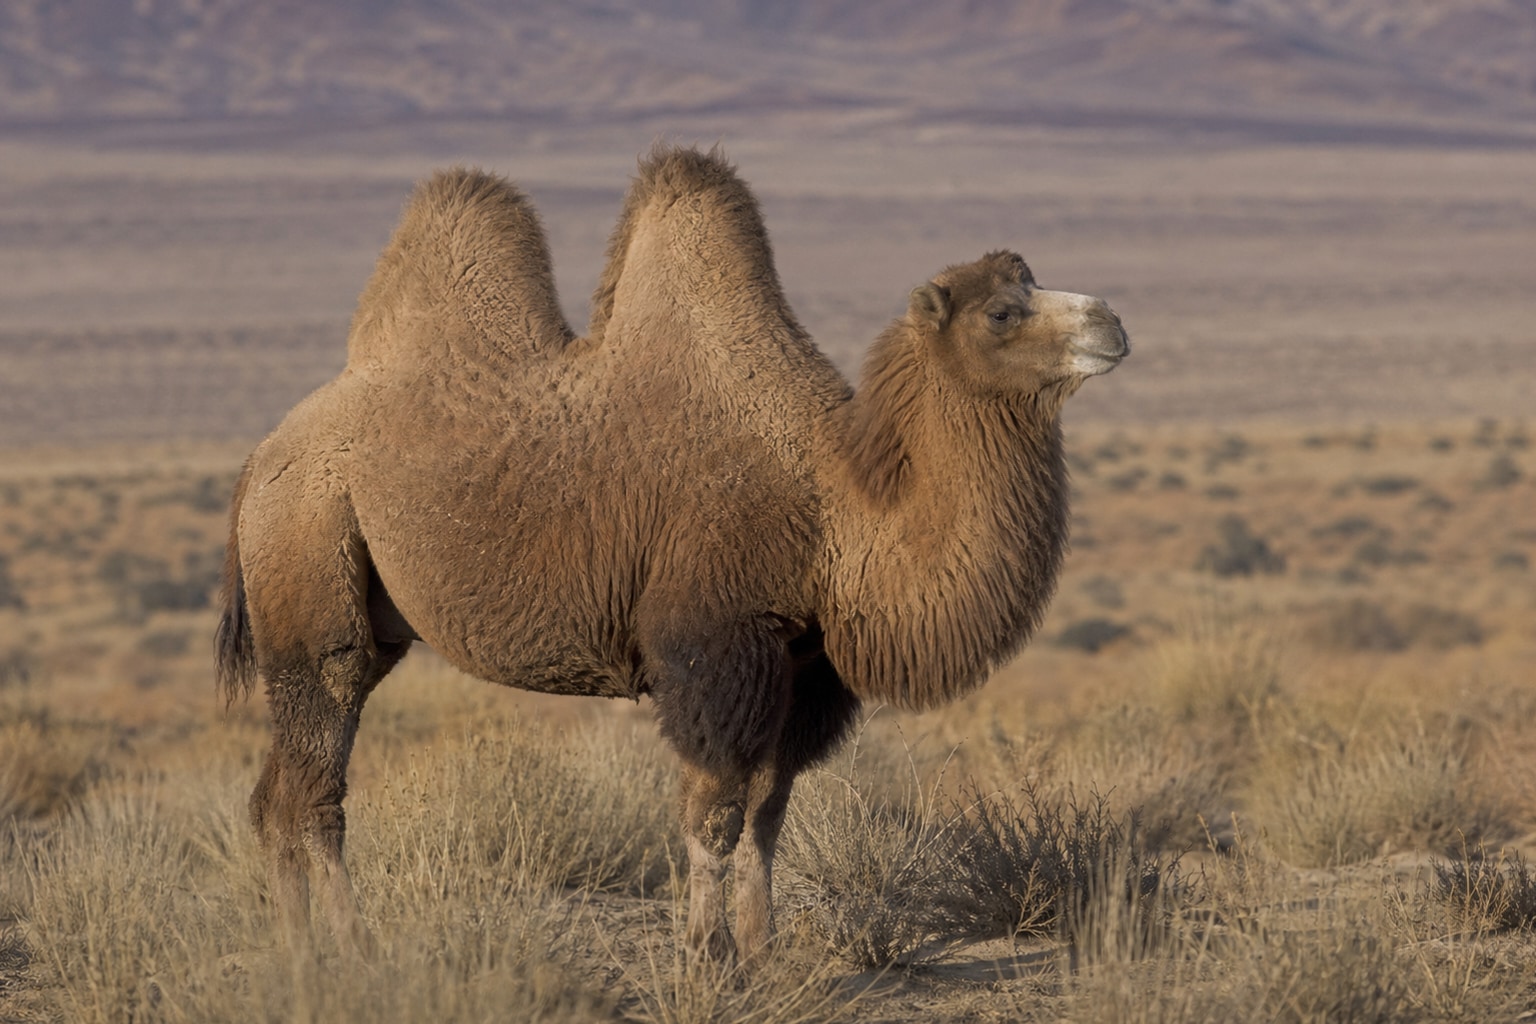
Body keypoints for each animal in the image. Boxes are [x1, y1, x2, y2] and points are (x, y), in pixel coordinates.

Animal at [215, 144, 1129, 962]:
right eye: (1002, 311)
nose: (1113, 323)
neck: (834, 504)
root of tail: (261, 458)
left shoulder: (804, 667)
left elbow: (768, 812)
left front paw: (762, 953)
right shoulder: (714, 647)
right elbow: (712, 816)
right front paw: (705, 955)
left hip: (364, 616)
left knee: (272, 795)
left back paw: (297, 949)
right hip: (310, 560)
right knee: (315, 789)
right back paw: (346, 951)